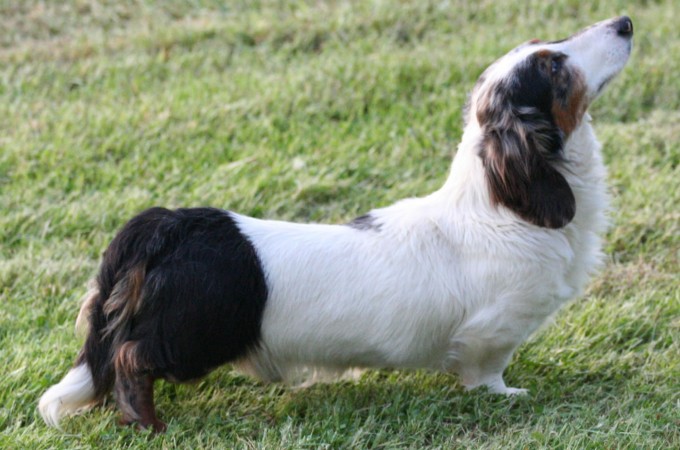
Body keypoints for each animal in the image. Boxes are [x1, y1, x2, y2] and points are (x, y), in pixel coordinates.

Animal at [38, 18, 632, 432]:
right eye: (553, 67)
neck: (500, 208)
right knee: (130, 359)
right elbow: (485, 374)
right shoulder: (492, 334)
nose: (625, 22)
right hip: (193, 333)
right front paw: (506, 396)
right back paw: (147, 423)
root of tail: (173, 226)